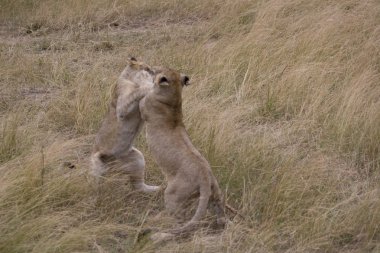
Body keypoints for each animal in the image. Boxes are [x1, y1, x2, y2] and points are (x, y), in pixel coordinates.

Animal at [90, 57, 159, 193]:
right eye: (148, 68)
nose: (156, 74)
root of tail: (112, 168)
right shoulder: (122, 106)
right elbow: (136, 91)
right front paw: (148, 82)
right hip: (96, 162)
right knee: (95, 183)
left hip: (138, 158)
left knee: (138, 186)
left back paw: (155, 189)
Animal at [140, 67, 226, 237]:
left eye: (157, 70)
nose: (149, 69)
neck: (175, 98)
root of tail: (205, 177)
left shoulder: (144, 106)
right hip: (215, 192)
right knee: (220, 211)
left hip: (173, 195)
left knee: (179, 218)